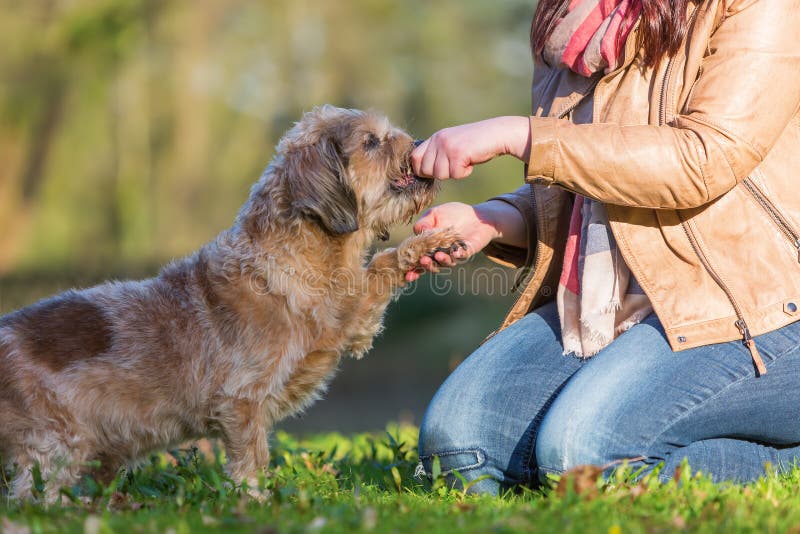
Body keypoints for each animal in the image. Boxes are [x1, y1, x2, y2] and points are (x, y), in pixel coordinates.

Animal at [0, 105, 462, 502]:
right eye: (371, 141)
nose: (419, 143)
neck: (291, 255)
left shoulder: (347, 322)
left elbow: (382, 264)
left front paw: (433, 243)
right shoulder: (242, 401)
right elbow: (251, 461)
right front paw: (255, 502)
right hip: (57, 445)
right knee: (30, 498)